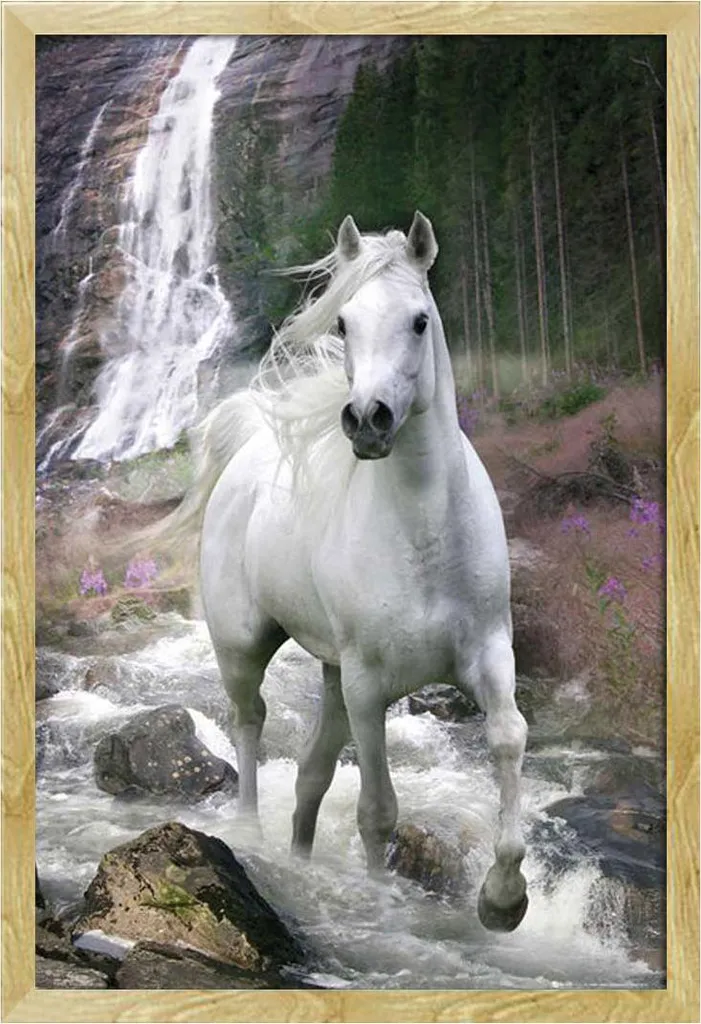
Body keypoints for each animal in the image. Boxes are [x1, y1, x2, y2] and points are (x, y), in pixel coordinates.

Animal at [165, 211, 529, 932]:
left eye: (419, 320)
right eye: (342, 323)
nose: (367, 420)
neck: (424, 536)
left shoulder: (489, 653)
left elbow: (507, 737)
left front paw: (503, 899)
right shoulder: (368, 686)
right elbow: (377, 810)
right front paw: (381, 902)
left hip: (330, 672)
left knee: (312, 772)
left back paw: (301, 855)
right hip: (245, 648)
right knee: (249, 724)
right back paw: (249, 833)